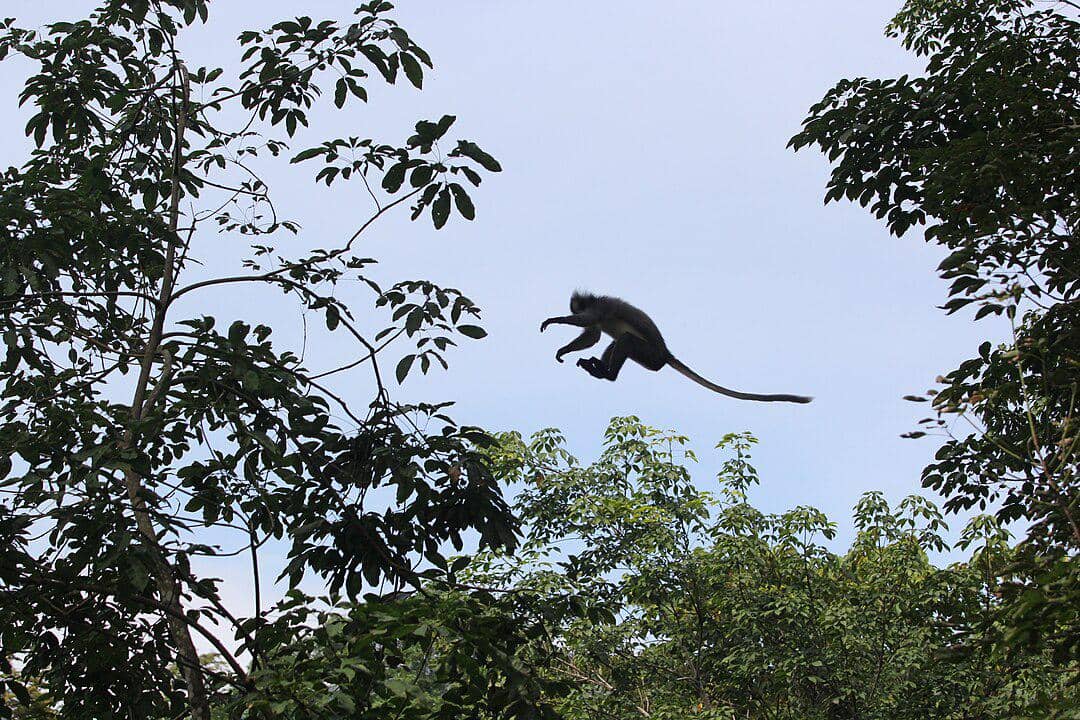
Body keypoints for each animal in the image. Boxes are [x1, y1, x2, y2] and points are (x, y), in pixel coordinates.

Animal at [540, 291, 812, 403]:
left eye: (575, 307)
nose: (572, 308)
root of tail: (666, 354)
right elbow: (592, 336)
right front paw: (563, 351)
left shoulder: (600, 308)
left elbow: (587, 325)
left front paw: (554, 321)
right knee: (617, 341)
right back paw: (599, 369)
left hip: (650, 357)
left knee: (626, 340)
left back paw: (608, 374)